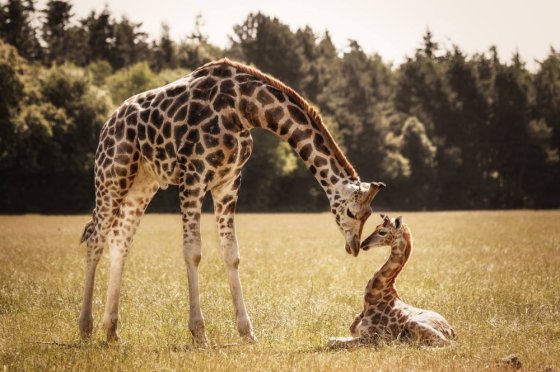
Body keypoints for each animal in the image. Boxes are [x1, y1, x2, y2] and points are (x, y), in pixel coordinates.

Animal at [79, 57, 384, 342]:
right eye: (352, 213)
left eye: (369, 215)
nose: (354, 247)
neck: (243, 108)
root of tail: (108, 124)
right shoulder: (193, 176)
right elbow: (193, 251)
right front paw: (199, 333)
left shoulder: (228, 182)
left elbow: (231, 252)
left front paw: (247, 332)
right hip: (112, 174)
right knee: (96, 239)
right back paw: (85, 327)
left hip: (142, 183)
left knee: (119, 241)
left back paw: (112, 330)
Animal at [328, 215, 456, 348]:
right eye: (376, 227)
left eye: (382, 232)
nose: (363, 243)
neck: (371, 300)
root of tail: (452, 330)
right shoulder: (356, 334)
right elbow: (332, 339)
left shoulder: (374, 338)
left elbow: (332, 342)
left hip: (414, 323)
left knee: (450, 344)